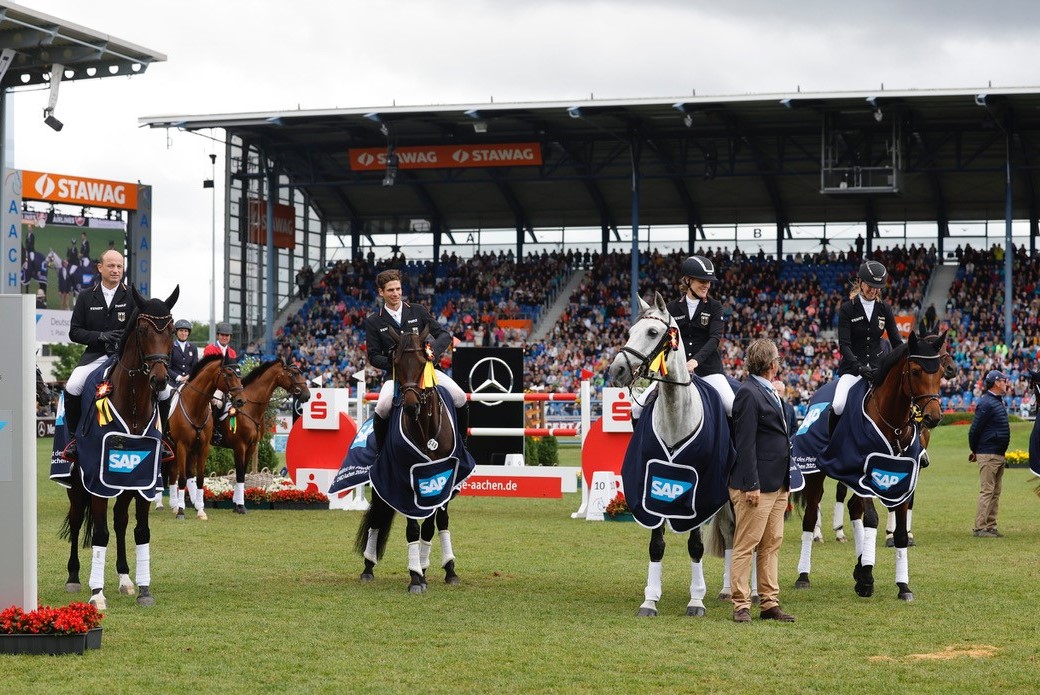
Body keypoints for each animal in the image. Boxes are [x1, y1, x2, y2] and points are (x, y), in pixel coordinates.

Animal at [59, 285, 178, 603]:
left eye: (172, 330)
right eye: (143, 329)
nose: (159, 380)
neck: (133, 403)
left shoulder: (144, 478)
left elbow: (141, 531)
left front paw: (144, 590)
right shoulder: (97, 479)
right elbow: (100, 534)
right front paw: (97, 594)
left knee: (120, 520)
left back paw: (125, 577)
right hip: (76, 482)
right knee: (77, 519)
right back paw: (74, 577)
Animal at [167, 355, 246, 518]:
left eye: (239, 375)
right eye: (229, 374)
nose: (241, 401)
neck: (195, 406)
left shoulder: (203, 447)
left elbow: (200, 478)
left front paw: (201, 510)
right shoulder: (182, 445)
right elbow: (182, 479)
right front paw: (181, 511)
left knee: (178, 473)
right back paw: (174, 505)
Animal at [210, 362, 307, 513]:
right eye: (293, 374)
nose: (307, 395)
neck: (249, 407)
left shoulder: (251, 446)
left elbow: (242, 474)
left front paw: (237, 504)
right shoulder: (240, 447)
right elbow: (239, 474)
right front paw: (240, 506)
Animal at [355, 326, 474, 590]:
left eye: (422, 363)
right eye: (396, 362)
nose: (410, 406)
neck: (425, 429)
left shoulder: (443, 476)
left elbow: (429, 526)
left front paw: (429, 570)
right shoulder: (404, 476)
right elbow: (412, 528)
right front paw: (415, 577)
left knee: (440, 521)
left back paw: (447, 568)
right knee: (377, 517)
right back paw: (368, 567)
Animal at [790, 328, 948, 599]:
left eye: (939, 371)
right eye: (916, 371)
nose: (933, 417)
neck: (893, 423)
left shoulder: (901, 478)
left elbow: (900, 533)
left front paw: (902, 586)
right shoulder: (863, 475)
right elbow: (872, 519)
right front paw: (866, 578)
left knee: (854, 509)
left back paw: (859, 562)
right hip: (816, 474)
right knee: (811, 517)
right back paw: (804, 575)